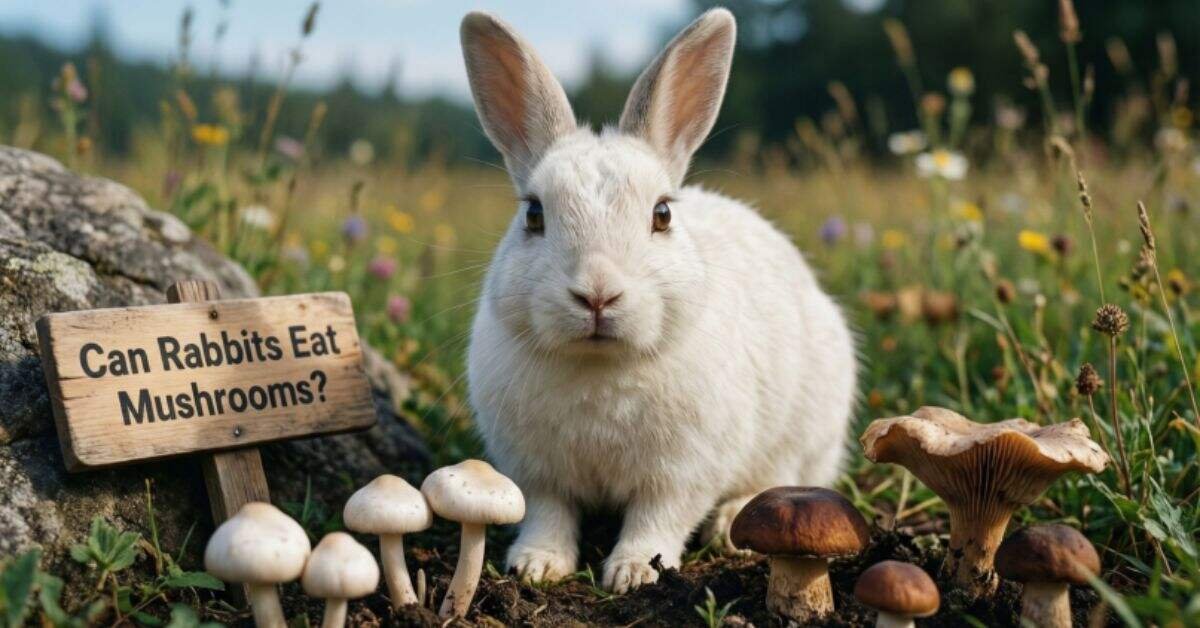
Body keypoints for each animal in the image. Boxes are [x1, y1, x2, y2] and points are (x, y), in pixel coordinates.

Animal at [460, 7, 857, 593]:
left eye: (662, 215)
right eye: (533, 214)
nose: (597, 294)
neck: (599, 367)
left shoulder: (682, 472)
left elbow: (658, 520)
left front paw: (633, 573)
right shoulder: (536, 473)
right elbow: (548, 514)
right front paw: (536, 566)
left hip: (809, 427)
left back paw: (732, 522)